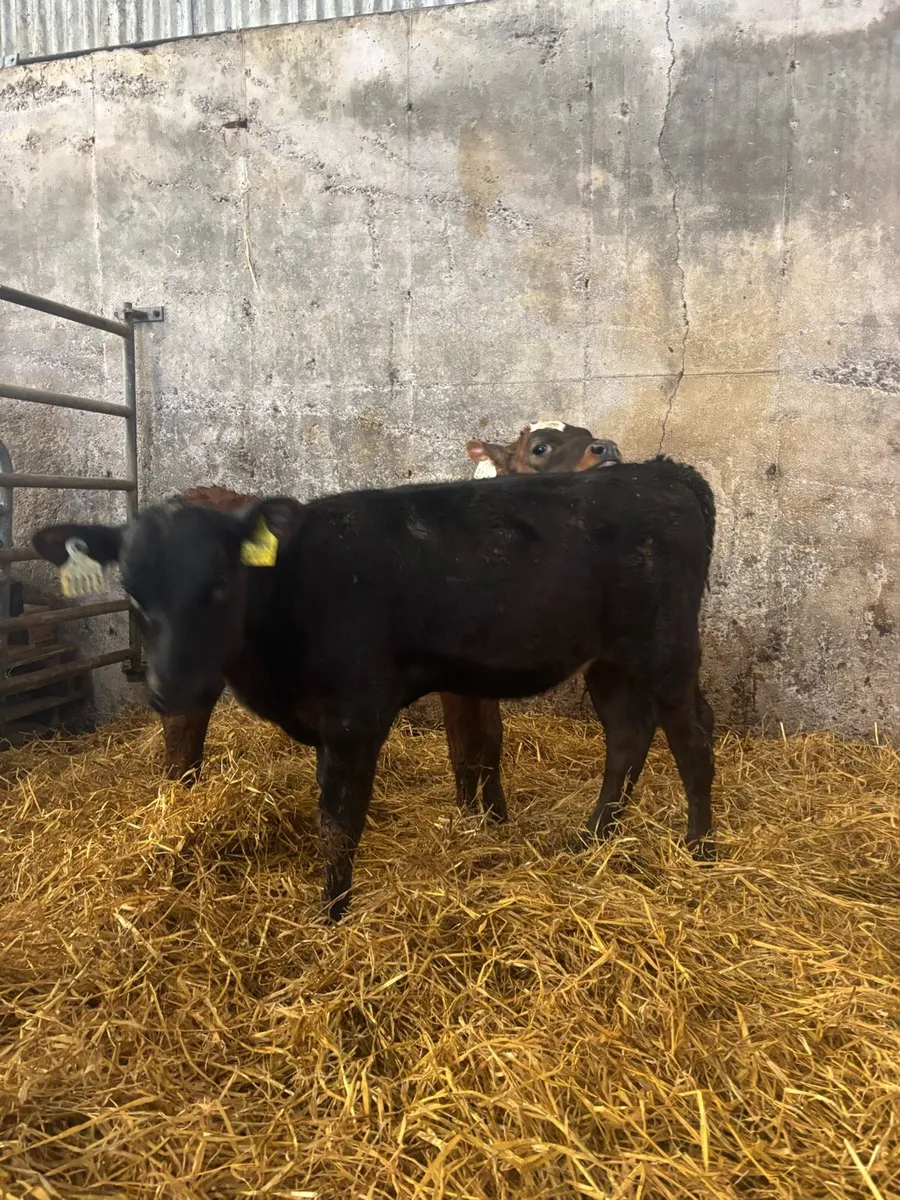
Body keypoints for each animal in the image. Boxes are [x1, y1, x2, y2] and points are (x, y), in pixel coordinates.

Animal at [32, 458, 716, 920]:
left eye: (220, 585)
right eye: (132, 592)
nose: (173, 687)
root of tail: (663, 472)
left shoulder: (353, 715)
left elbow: (339, 821)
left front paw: (330, 916)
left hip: (666, 648)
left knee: (692, 737)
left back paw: (700, 849)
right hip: (611, 661)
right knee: (627, 734)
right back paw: (592, 839)